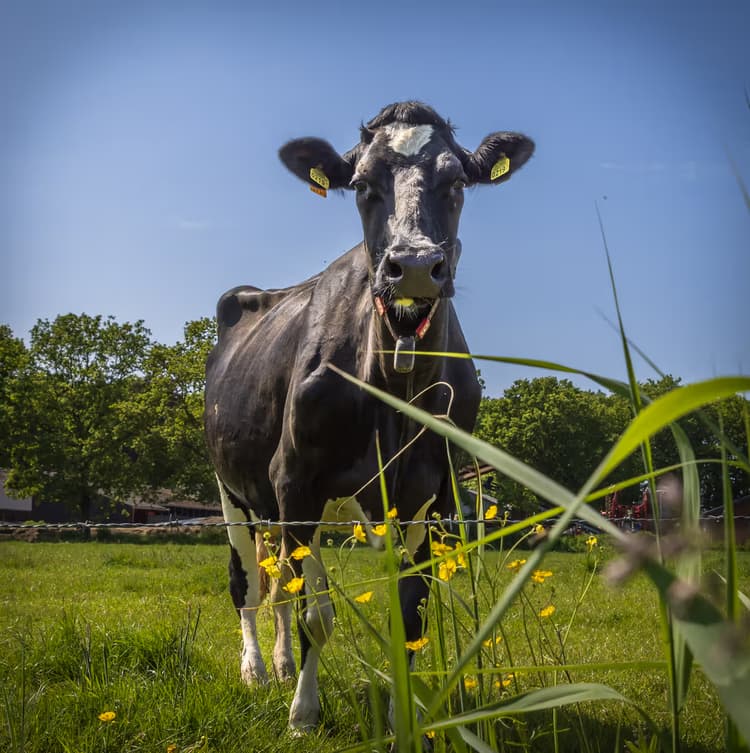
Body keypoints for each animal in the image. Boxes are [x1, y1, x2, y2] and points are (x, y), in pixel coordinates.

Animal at [204, 101, 534, 732]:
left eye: (458, 182)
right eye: (360, 185)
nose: (414, 266)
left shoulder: (434, 495)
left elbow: (411, 617)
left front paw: (405, 723)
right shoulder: (295, 482)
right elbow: (316, 615)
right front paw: (303, 713)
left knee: (278, 584)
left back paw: (281, 663)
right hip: (234, 492)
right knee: (249, 585)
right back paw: (256, 670)